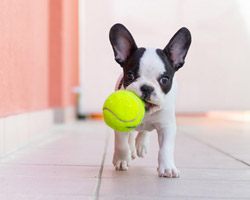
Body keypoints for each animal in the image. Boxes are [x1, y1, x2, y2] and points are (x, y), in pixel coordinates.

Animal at [108, 23, 191, 178]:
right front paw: (122, 159)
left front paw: (167, 167)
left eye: (164, 79)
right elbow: (121, 143)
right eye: (130, 75)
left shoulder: (166, 127)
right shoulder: (121, 123)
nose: (146, 88)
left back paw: (141, 144)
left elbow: (165, 149)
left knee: (145, 131)